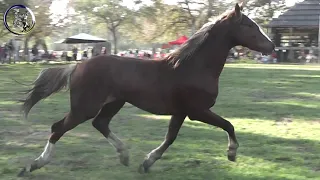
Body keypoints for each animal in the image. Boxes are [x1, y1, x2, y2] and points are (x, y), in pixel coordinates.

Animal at [17, 3, 274, 176]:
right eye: (249, 25)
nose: (271, 46)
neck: (192, 66)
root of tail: (77, 65)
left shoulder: (181, 112)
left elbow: (170, 137)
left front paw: (147, 162)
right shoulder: (197, 111)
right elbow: (228, 125)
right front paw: (232, 153)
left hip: (114, 102)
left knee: (100, 123)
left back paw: (124, 155)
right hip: (85, 107)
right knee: (58, 127)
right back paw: (33, 165)